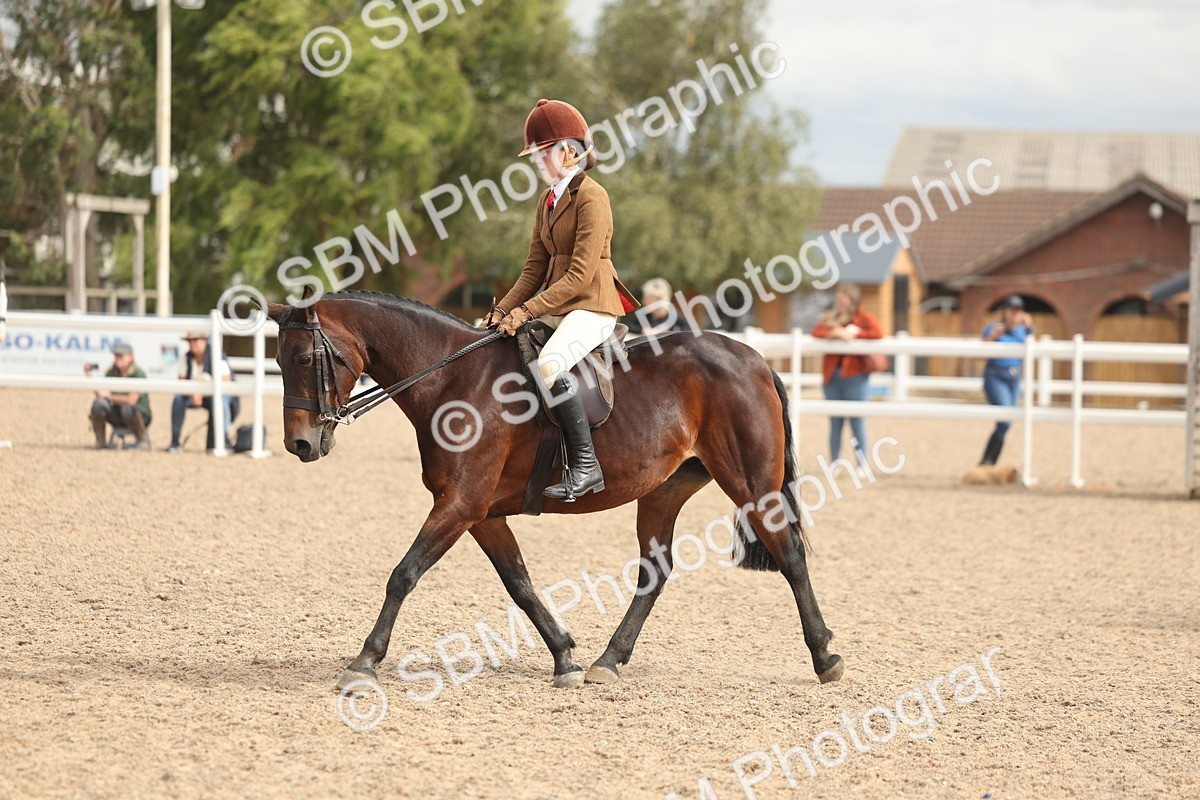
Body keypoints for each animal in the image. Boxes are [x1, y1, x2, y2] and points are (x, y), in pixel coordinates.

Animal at [264, 291, 844, 691]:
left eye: (304, 360)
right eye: (275, 361)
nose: (300, 443)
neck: (453, 380)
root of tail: (755, 359)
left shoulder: (460, 504)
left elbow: (403, 574)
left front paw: (365, 661)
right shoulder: (481, 513)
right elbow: (518, 583)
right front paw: (564, 655)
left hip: (750, 483)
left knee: (790, 554)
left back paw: (825, 657)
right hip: (663, 492)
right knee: (654, 572)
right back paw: (608, 661)